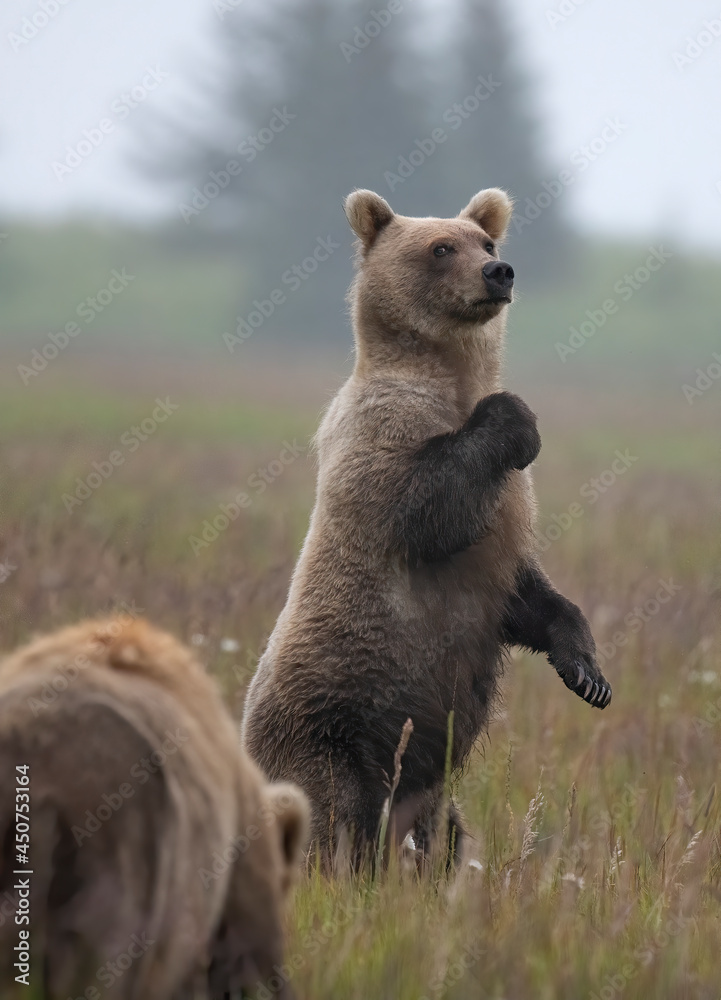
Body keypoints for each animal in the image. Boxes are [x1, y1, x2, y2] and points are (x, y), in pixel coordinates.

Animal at [240, 189, 608, 868]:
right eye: (441, 247)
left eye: (485, 241)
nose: (498, 271)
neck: (450, 380)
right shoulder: (380, 439)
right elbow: (427, 508)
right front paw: (516, 419)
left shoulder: (501, 547)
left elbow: (530, 596)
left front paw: (587, 673)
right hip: (327, 732)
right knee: (331, 818)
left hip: (426, 786)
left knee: (444, 831)